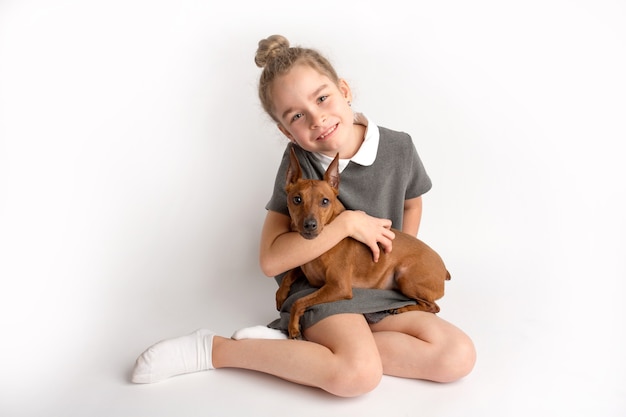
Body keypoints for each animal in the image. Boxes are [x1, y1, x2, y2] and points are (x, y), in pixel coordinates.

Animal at [272, 148, 448, 340]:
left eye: (325, 201)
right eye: (297, 199)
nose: (310, 225)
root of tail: (444, 270)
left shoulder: (338, 287)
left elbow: (298, 301)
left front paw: (293, 327)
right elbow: (290, 273)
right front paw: (281, 294)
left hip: (405, 277)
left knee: (434, 307)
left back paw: (403, 308)